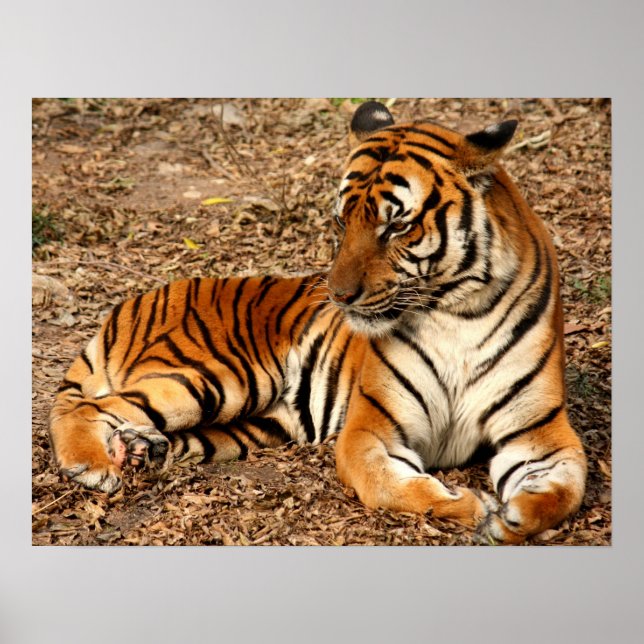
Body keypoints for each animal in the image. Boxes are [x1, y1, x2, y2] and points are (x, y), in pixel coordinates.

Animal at [49, 101, 587, 544]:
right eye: (341, 221)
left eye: (397, 225)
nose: (340, 296)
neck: (456, 312)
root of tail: (135, 300)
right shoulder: (371, 428)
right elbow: (391, 485)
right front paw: (471, 506)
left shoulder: (540, 433)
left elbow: (566, 489)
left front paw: (513, 517)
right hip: (217, 376)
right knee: (88, 407)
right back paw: (91, 466)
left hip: (256, 423)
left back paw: (142, 450)